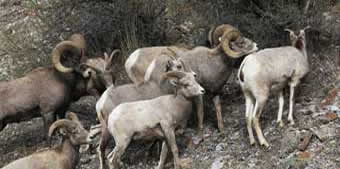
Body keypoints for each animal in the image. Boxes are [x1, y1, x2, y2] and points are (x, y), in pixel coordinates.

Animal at [125, 24, 258, 132]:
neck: (211, 62)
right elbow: (200, 112)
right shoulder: (198, 94)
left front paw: (221, 129)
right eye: (241, 42)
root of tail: (130, 61)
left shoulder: (215, 91)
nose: (256, 46)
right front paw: (200, 130)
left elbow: (218, 108)